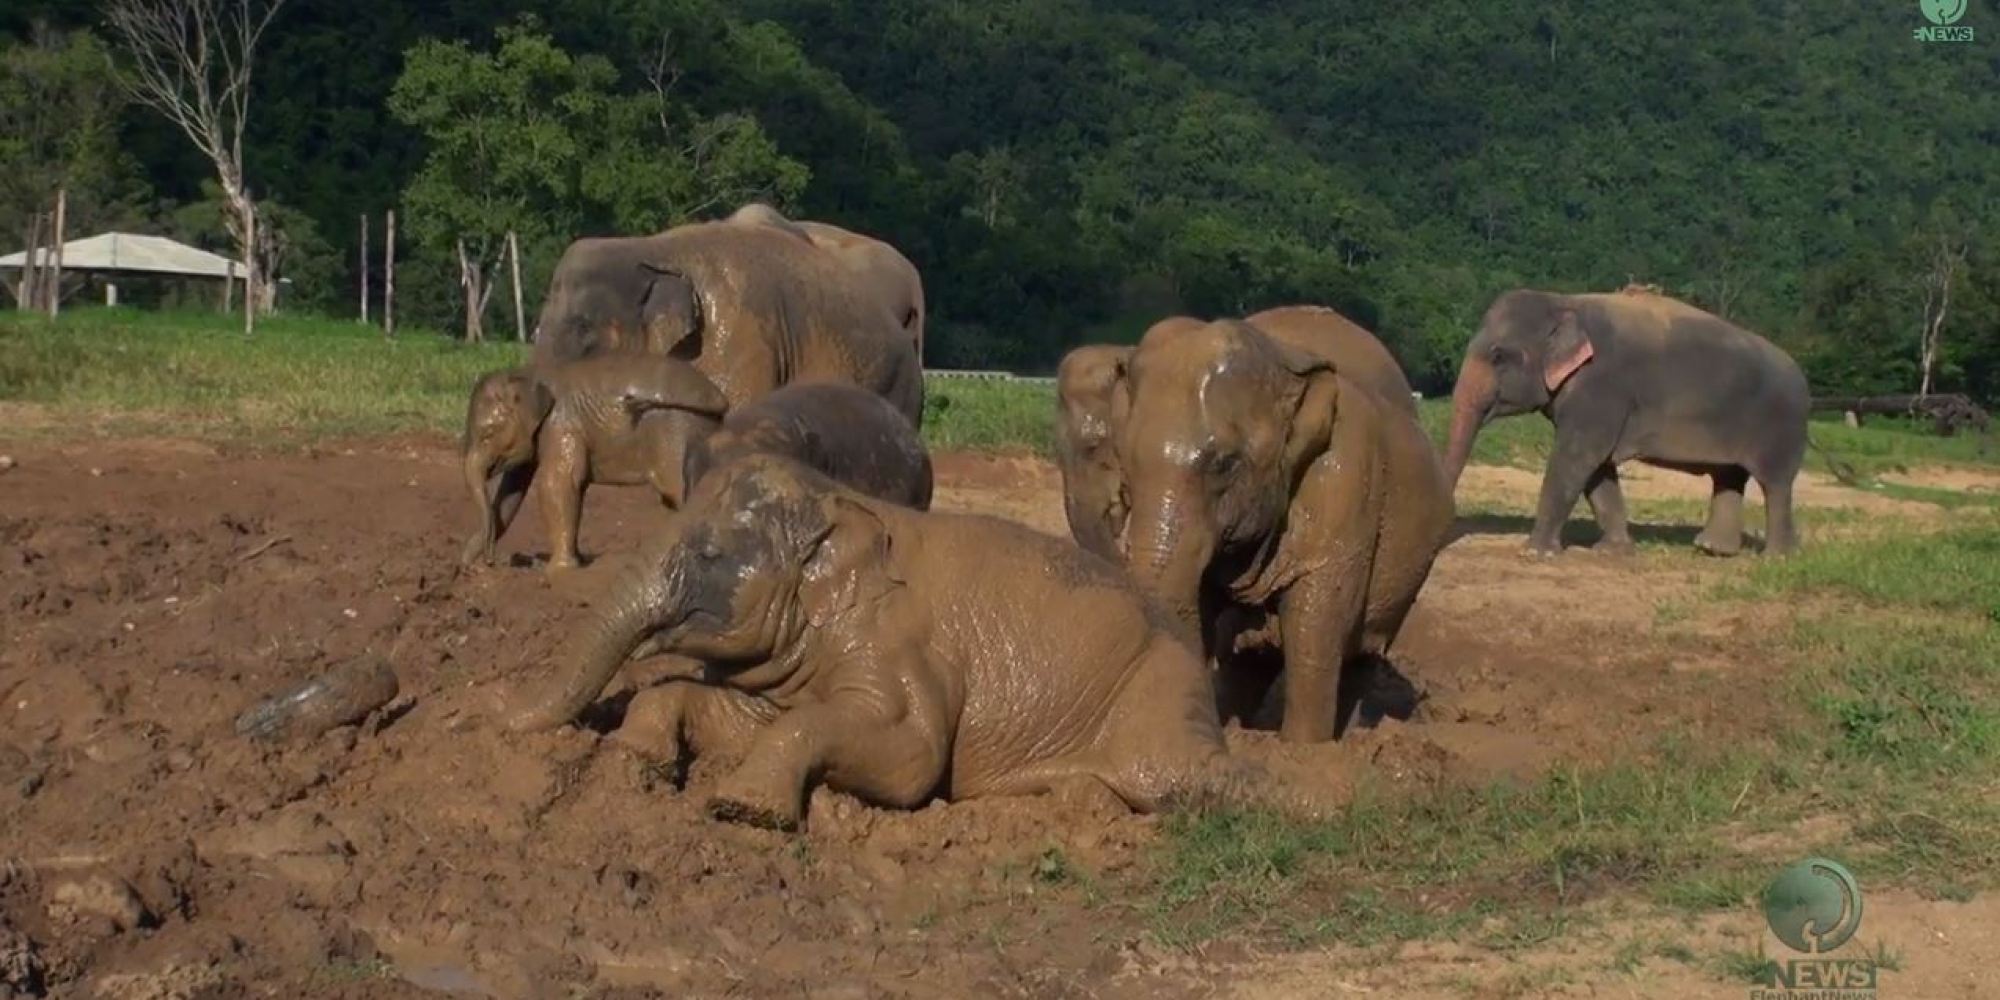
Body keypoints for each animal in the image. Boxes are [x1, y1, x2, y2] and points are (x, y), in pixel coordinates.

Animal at [460, 355, 728, 573]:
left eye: (487, 435)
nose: (490, 561)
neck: (530, 374)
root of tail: (719, 398)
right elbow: (510, 497)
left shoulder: (561, 425)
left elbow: (556, 484)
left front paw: (557, 571)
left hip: (678, 429)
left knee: (678, 489)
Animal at [504, 455, 1231, 830]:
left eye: (709, 554)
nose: (494, 704)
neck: (841, 502)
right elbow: (734, 713)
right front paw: (636, 759)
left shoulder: (895, 643)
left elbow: (911, 753)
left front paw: (742, 808)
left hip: (1156, 702)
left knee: (1184, 780)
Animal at [1440, 287, 1808, 556]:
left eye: (1498, 356)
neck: (1564, 301)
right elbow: (1597, 468)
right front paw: (1612, 551)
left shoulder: (1602, 388)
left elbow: (1577, 457)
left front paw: (1534, 552)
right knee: (1729, 476)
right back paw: (1713, 550)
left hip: (1781, 427)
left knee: (1775, 484)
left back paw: (1776, 557)